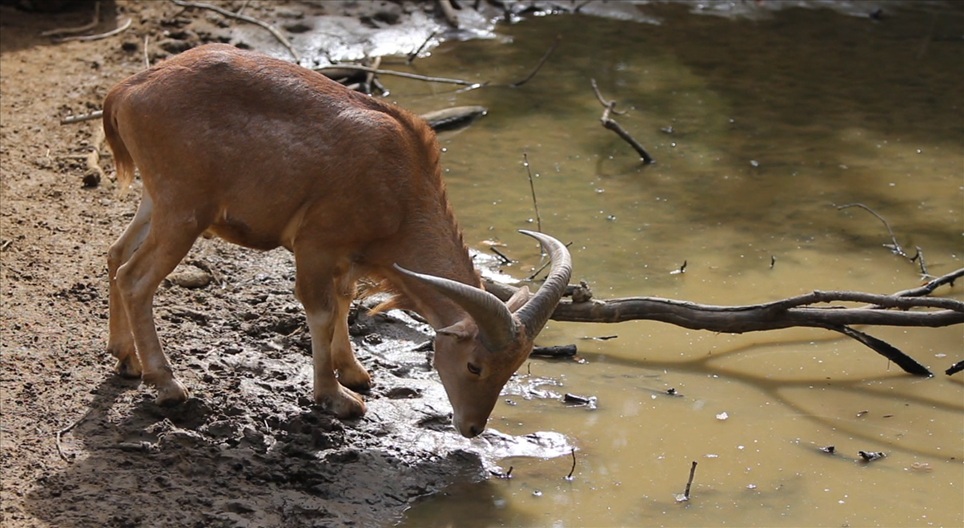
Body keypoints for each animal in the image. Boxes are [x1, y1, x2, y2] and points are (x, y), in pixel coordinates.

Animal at [102, 44, 572, 438]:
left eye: (513, 369)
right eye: (474, 366)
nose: (472, 427)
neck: (399, 183)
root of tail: (128, 90)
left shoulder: (347, 255)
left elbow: (345, 303)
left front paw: (354, 374)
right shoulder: (316, 244)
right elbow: (322, 310)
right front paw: (337, 398)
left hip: (157, 201)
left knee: (116, 253)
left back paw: (126, 358)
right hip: (184, 210)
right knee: (135, 278)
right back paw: (167, 384)